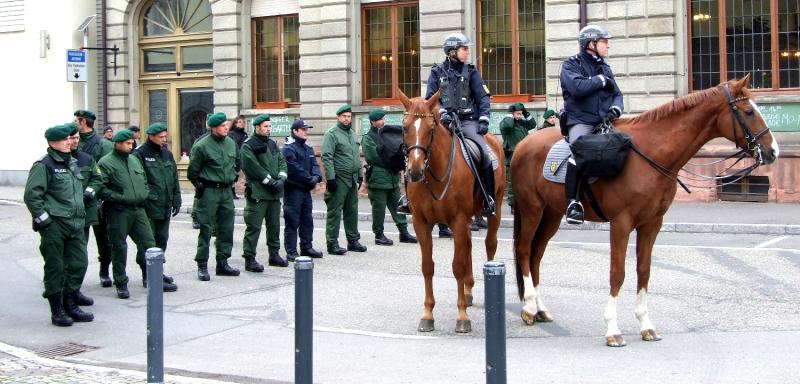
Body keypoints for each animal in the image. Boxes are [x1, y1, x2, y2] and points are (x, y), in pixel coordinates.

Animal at [400, 90, 506, 332]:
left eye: (431, 128)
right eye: (404, 127)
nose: (415, 171)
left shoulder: (457, 220)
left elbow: (457, 266)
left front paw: (462, 317)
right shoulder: (421, 223)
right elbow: (427, 267)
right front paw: (428, 314)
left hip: (495, 208)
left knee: (489, 245)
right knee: (468, 246)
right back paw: (468, 291)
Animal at [510, 76, 780, 348]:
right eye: (748, 112)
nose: (773, 151)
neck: (650, 154)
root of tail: (523, 144)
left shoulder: (652, 223)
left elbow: (644, 270)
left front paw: (645, 324)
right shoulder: (621, 223)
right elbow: (617, 273)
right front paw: (612, 328)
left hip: (552, 214)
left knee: (536, 255)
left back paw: (539, 308)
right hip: (532, 209)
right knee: (524, 250)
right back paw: (529, 308)